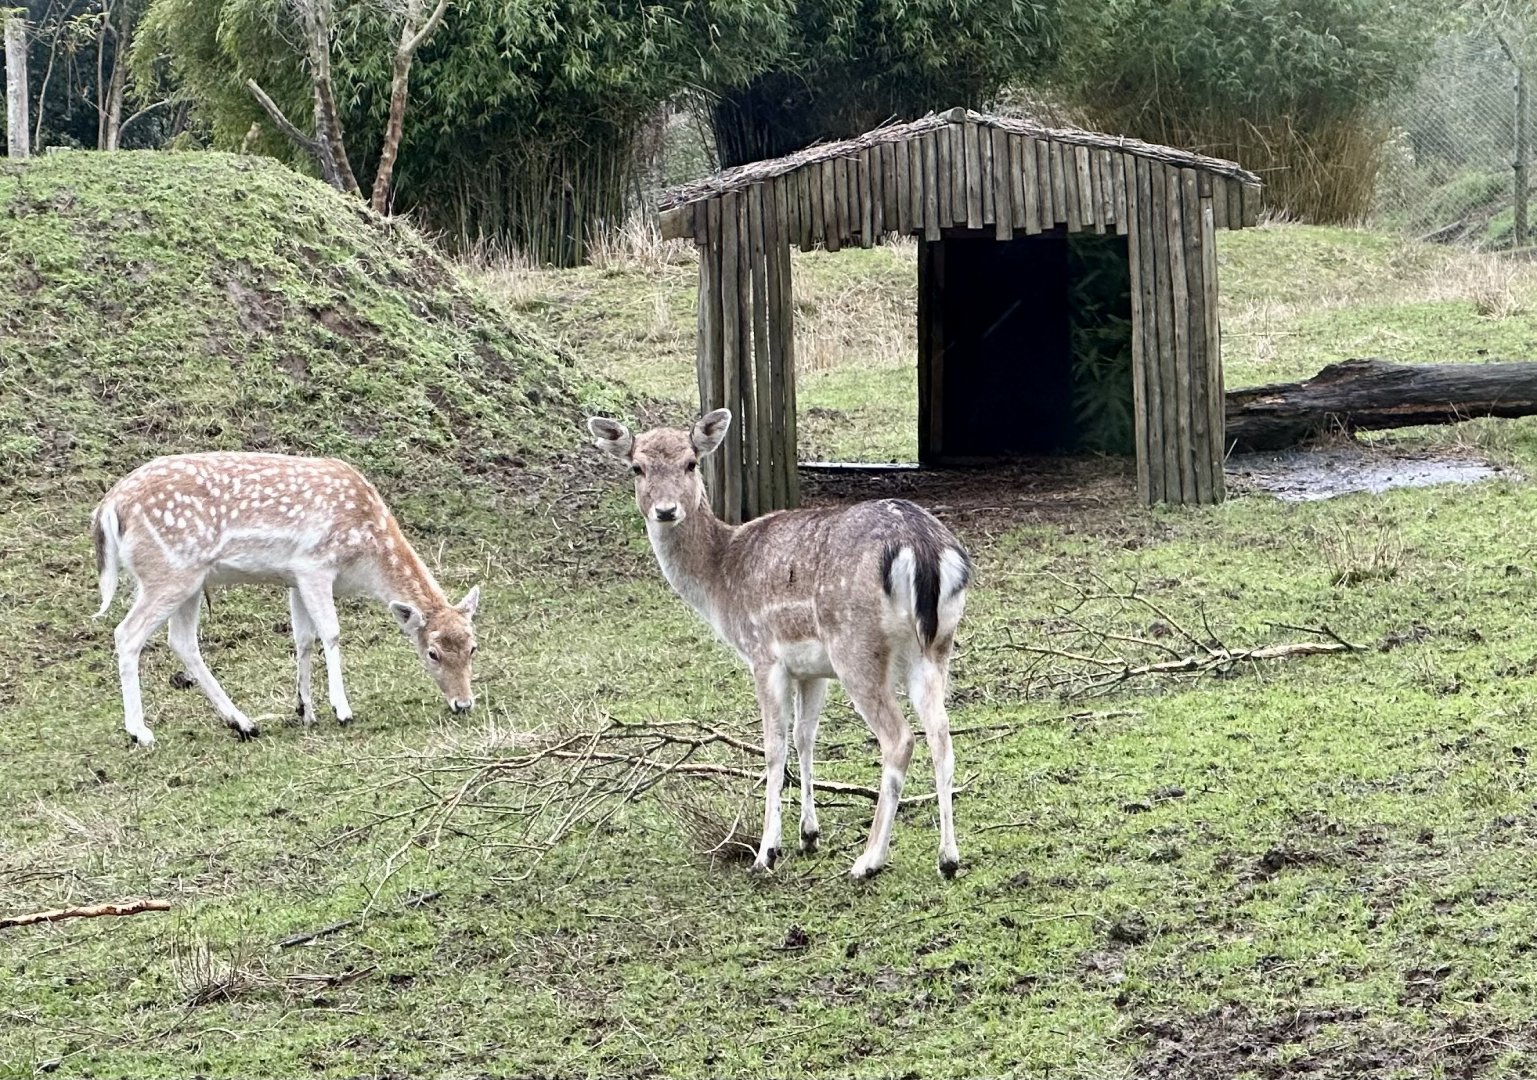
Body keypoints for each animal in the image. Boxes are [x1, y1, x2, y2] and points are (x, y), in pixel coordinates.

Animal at [92, 452, 482, 747]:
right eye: (432, 653)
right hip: (169, 572)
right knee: (127, 633)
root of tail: (109, 507)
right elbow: (331, 633)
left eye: (473, 647)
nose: (463, 703)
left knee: (182, 641)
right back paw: (141, 733)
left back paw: (243, 723)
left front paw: (305, 710)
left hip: (190, 581)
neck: (366, 553)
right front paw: (341, 710)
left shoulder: (294, 578)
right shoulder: (315, 565)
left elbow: (303, 639)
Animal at [588, 409, 971, 880]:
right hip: (935, 646)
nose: (665, 510)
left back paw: (868, 860)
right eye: (637, 468)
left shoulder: (763, 655)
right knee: (942, 736)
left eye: (691, 463)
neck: (720, 578)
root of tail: (922, 547)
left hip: (855, 647)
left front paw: (767, 852)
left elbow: (774, 747)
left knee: (900, 739)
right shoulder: (812, 670)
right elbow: (805, 737)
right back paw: (948, 859)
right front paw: (809, 836)